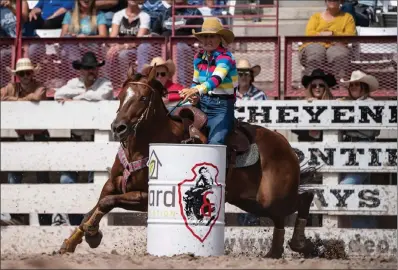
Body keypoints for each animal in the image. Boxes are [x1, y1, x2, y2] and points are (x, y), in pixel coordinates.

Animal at [57, 64, 316, 258]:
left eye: (143, 97)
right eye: (121, 96)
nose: (118, 127)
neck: (141, 146)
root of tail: (286, 145)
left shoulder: (144, 197)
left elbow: (106, 203)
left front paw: (93, 234)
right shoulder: (112, 184)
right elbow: (93, 208)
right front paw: (71, 242)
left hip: (272, 197)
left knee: (304, 198)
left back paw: (299, 244)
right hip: (251, 200)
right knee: (281, 216)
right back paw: (277, 251)